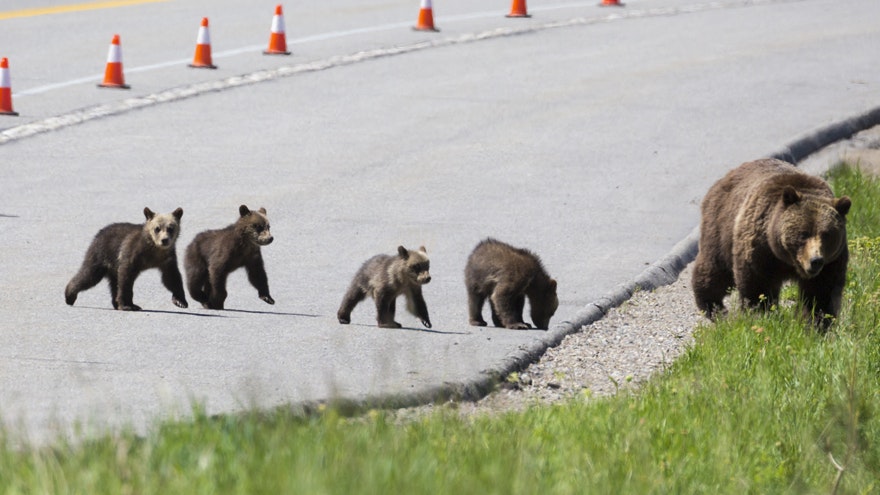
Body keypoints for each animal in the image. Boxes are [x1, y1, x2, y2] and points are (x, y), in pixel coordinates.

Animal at [692, 158, 851, 327]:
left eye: (827, 235)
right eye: (803, 234)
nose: (816, 260)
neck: (787, 258)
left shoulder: (831, 261)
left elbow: (820, 293)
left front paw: (815, 323)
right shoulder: (760, 249)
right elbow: (757, 284)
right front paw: (760, 314)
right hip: (721, 228)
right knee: (715, 270)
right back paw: (713, 306)